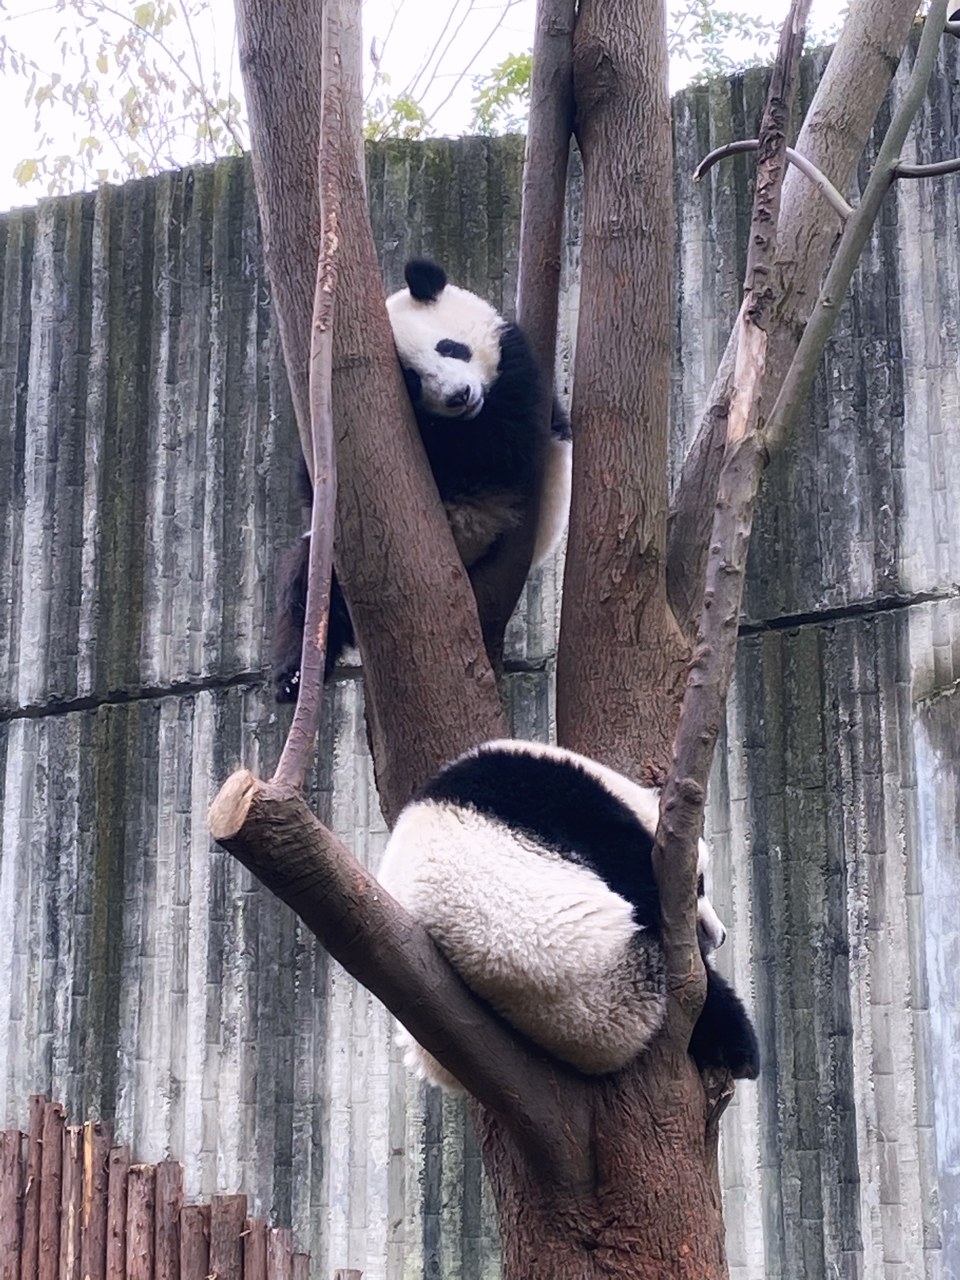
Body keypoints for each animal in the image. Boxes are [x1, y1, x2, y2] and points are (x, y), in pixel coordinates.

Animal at [271, 256, 570, 706]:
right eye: (411, 381)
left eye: (449, 347)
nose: (459, 395)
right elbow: (309, 484)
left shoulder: (524, 388)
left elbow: (502, 443)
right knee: (307, 586)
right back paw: (292, 677)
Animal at [378, 742, 762, 1090]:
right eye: (700, 885)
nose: (718, 934)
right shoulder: (554, 796)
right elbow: (634, 871)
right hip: (619, 970)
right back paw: (738, 1046)